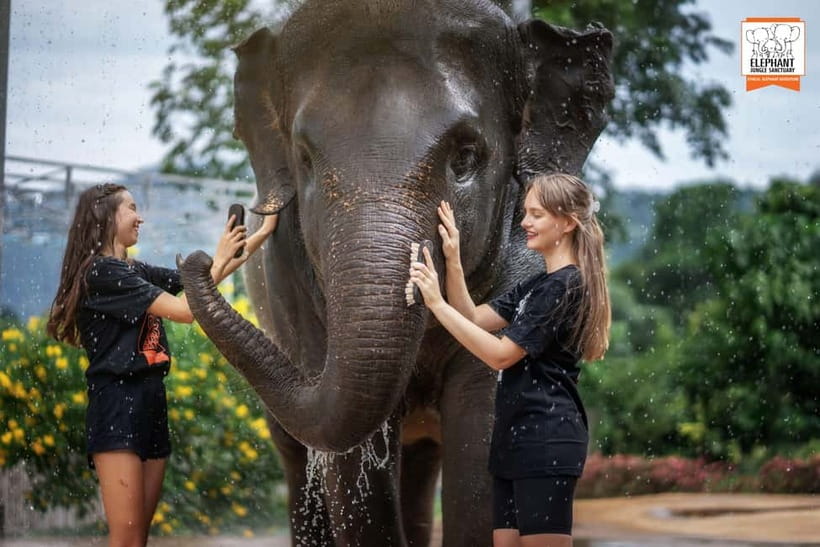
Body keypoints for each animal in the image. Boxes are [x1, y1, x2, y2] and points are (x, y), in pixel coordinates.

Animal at [179, 1, 613, 545]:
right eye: (305, 160)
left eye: (465, 157)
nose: (199, 256)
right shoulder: (289, 286)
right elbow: (353, 468)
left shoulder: (526, 257)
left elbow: (485, 431)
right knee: (299, 458)